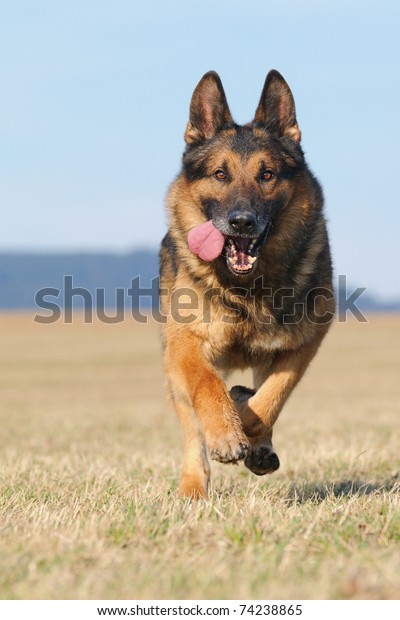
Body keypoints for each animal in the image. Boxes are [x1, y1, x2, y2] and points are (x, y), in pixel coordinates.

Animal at [160, 69, 334, 498]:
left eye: (267, 174)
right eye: (220, 174)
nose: (241, 222)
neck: (247, 289)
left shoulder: (303, 342)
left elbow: (271, 397)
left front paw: (244, 417)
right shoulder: (185, 345)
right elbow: (206, 384)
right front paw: (225, 432)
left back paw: (257, 441)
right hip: (172, 371)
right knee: (191, 428)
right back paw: (193, 485)